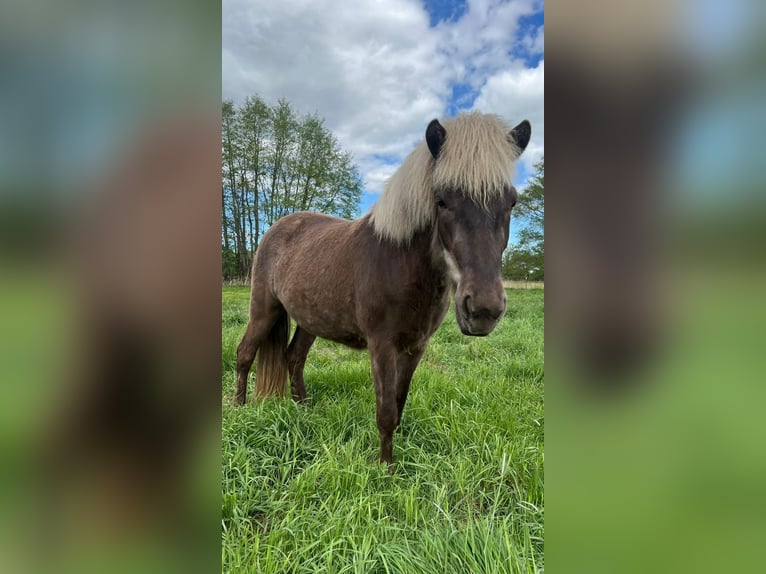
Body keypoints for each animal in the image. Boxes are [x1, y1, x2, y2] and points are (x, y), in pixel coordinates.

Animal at [235, 112, 531, 465]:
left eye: (511, 202)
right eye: (441, 200)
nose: (483, 310)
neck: (400, 263)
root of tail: (276, 228)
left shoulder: (416, 347)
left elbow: (399, 403)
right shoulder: (382, 345)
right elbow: (386, 411)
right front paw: (385, 468)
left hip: (310, 319)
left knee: (294, 357)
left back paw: (303, 409)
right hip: (264, 309)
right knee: (245, 353)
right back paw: (238, 411)